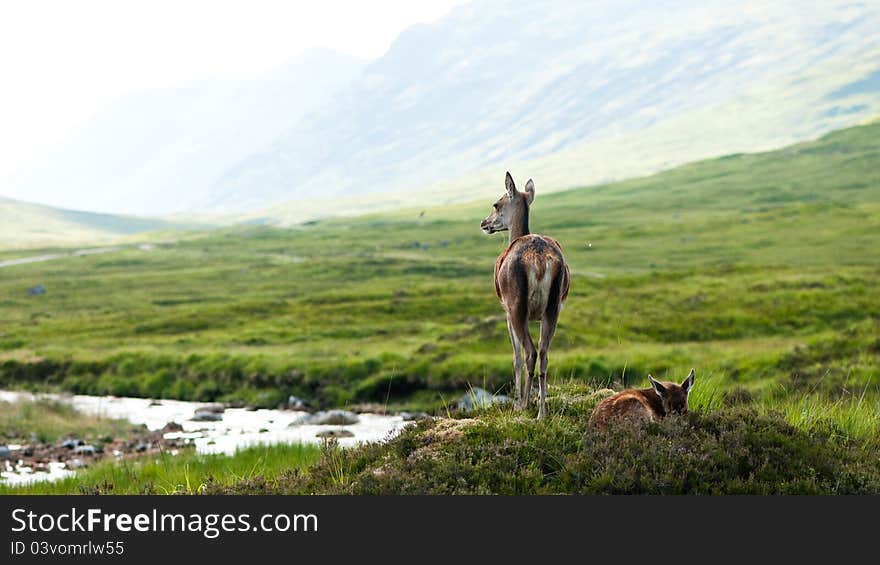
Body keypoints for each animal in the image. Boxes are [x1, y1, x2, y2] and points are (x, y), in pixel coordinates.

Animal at [482, 172, 572, 418]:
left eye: (496, 204)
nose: (484, 223)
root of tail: (540, 261)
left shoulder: (505, 310)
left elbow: (516, 357)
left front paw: (516, 402)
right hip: (554, 306)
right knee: (544, 353)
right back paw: (542, 412)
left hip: (516, 305)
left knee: (529, 352)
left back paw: (523, 405)